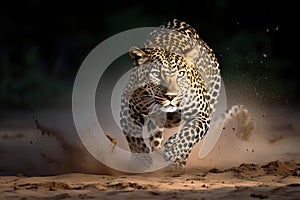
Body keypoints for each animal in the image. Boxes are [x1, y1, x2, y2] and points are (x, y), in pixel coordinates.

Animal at [119, 18, 253, 169]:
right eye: (156, 74)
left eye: (181, 74)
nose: (171, 96)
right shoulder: (128, 109)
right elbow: (134, 138)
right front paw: (143, 162)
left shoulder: (201, 116)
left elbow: (188, 135)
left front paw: (171, 150)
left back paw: (175, 163)